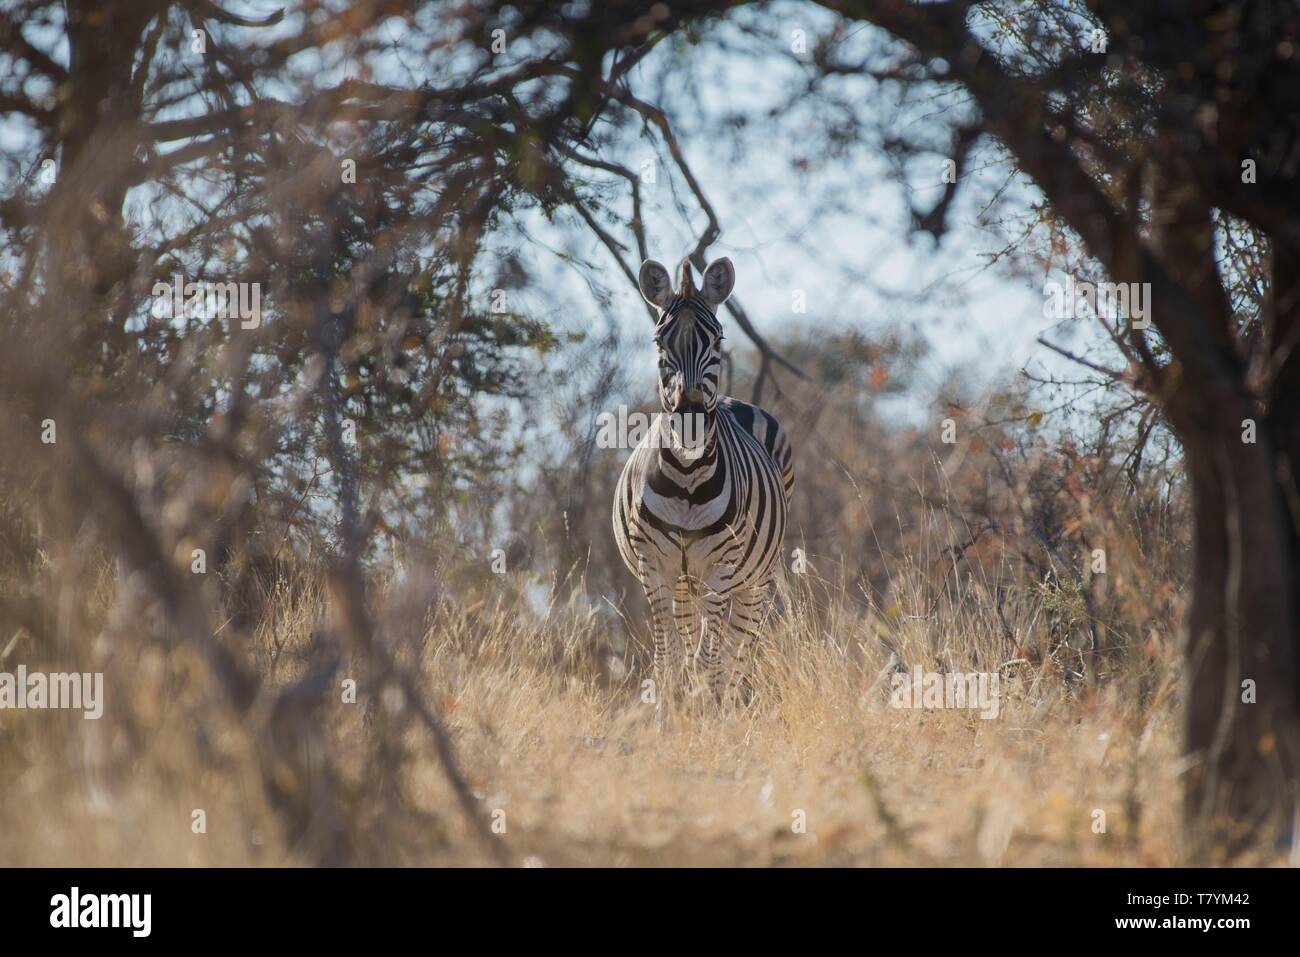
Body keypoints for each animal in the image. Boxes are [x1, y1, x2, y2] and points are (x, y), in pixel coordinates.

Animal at [613, 256, 795, 706]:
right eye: (659, 343)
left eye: (718, 339)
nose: (691, 418)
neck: (687, 478)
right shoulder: (655, 567)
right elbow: (669, 660)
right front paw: (669, 714)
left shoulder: (720, 569)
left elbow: (708, 660)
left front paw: (704, 712)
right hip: (684, 582)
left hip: (755, 580)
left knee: (739, 651)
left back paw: (728, 705)